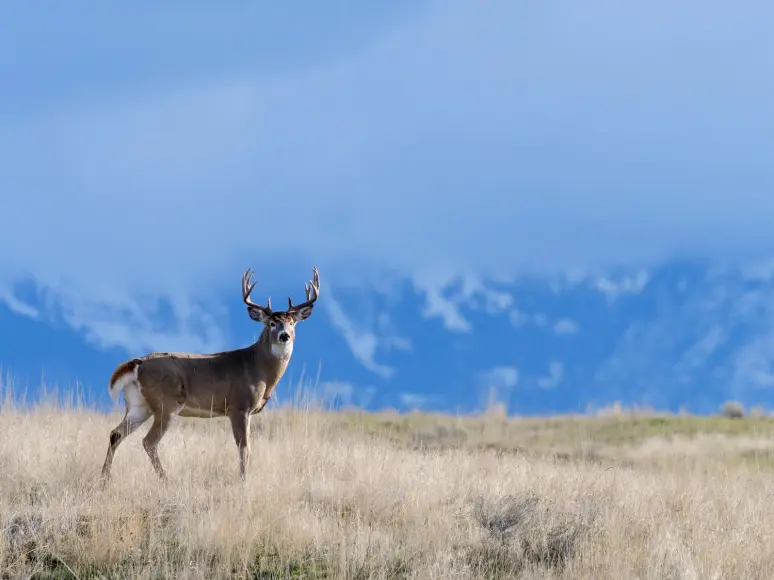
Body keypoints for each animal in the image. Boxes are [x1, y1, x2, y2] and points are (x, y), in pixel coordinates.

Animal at [99, 266, 322, 480]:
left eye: (292, 323)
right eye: (271, 323)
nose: (284, 336)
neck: (259, 369)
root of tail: (138, 364)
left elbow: (248, 449)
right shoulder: (238, 406)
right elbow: (244, 449)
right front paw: (243, 481)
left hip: (139, 404)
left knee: (115, 434)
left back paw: (105, 479)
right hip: (166, 404)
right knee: (148, 442)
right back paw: (165, 480)